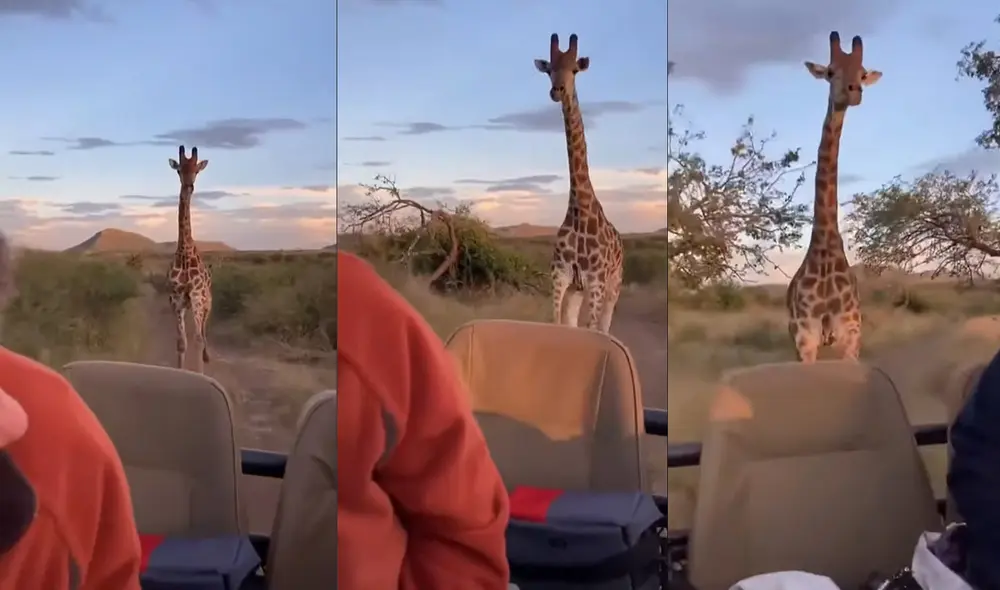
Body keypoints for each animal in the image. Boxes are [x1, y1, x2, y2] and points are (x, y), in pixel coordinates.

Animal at [534, 33, 624, 334]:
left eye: (575, 70)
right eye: (549, 69)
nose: (557, 91)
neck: (580, 208)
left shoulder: (596, 282)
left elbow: (592, 329)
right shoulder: (561, 277)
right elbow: (558, 322)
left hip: (613, 287)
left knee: (604, 327)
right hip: (577, 290)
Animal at [787, 31, 882, 363]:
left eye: (863, 73)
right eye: (830, 71)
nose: (854, 92)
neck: (825, 251)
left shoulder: (851, 332)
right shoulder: (805, 337)